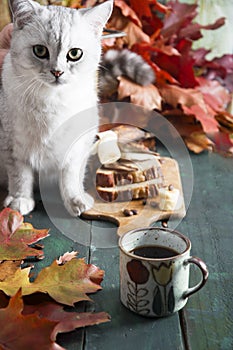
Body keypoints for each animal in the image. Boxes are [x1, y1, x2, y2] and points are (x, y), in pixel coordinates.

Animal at [0, 0, 113, 216]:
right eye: (40, 51)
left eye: (75, 54)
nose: (57, 72)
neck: (52, 99)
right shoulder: (12, 146)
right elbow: (20, 177)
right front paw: (20, 200)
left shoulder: (78, 146)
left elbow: (70, 176)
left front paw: (75, 200)